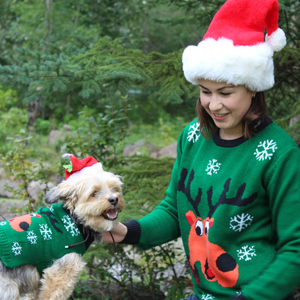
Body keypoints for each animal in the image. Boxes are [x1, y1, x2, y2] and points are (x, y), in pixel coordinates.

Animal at [0, 156, 124, 298]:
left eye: (114, 188)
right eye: (94, 193)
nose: (114, 199)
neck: (75, 221)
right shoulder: (60, 272)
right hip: (9, 289)